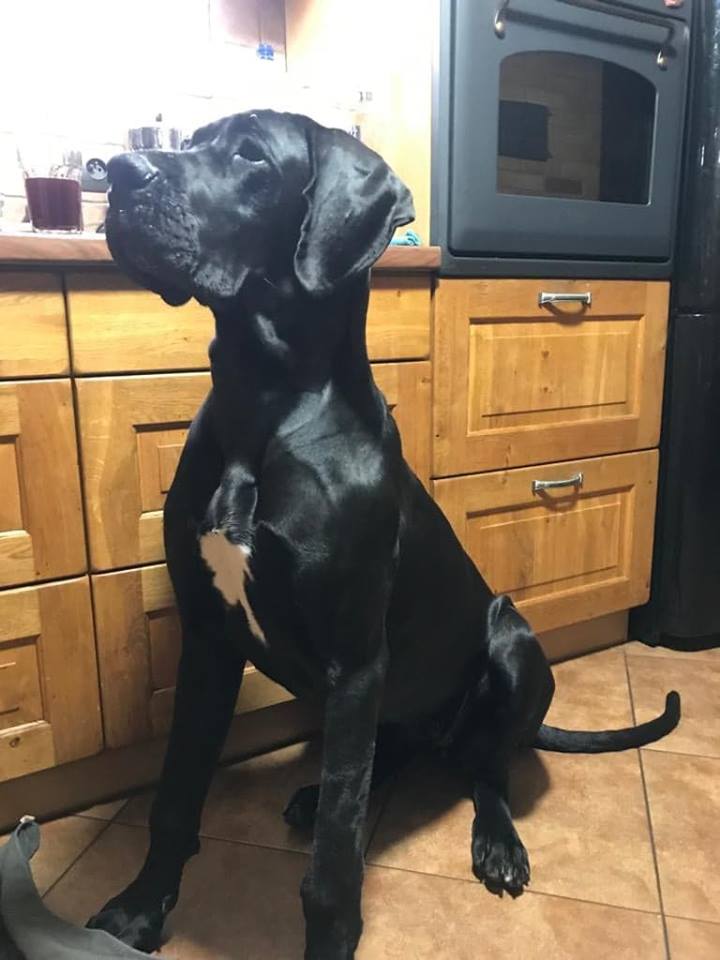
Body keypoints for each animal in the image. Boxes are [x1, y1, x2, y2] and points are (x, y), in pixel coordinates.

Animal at [89, 111, 680, 959]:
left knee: (488, 768)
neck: (261, 402)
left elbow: (335, 862)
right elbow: (174, 793)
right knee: (391, 759)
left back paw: (498, 840)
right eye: (192, 138)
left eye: (250, 156)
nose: (117, 173)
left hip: (513, 642)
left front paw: (330, 938)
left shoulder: (354, 660)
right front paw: (140, 908)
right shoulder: (208, 640)